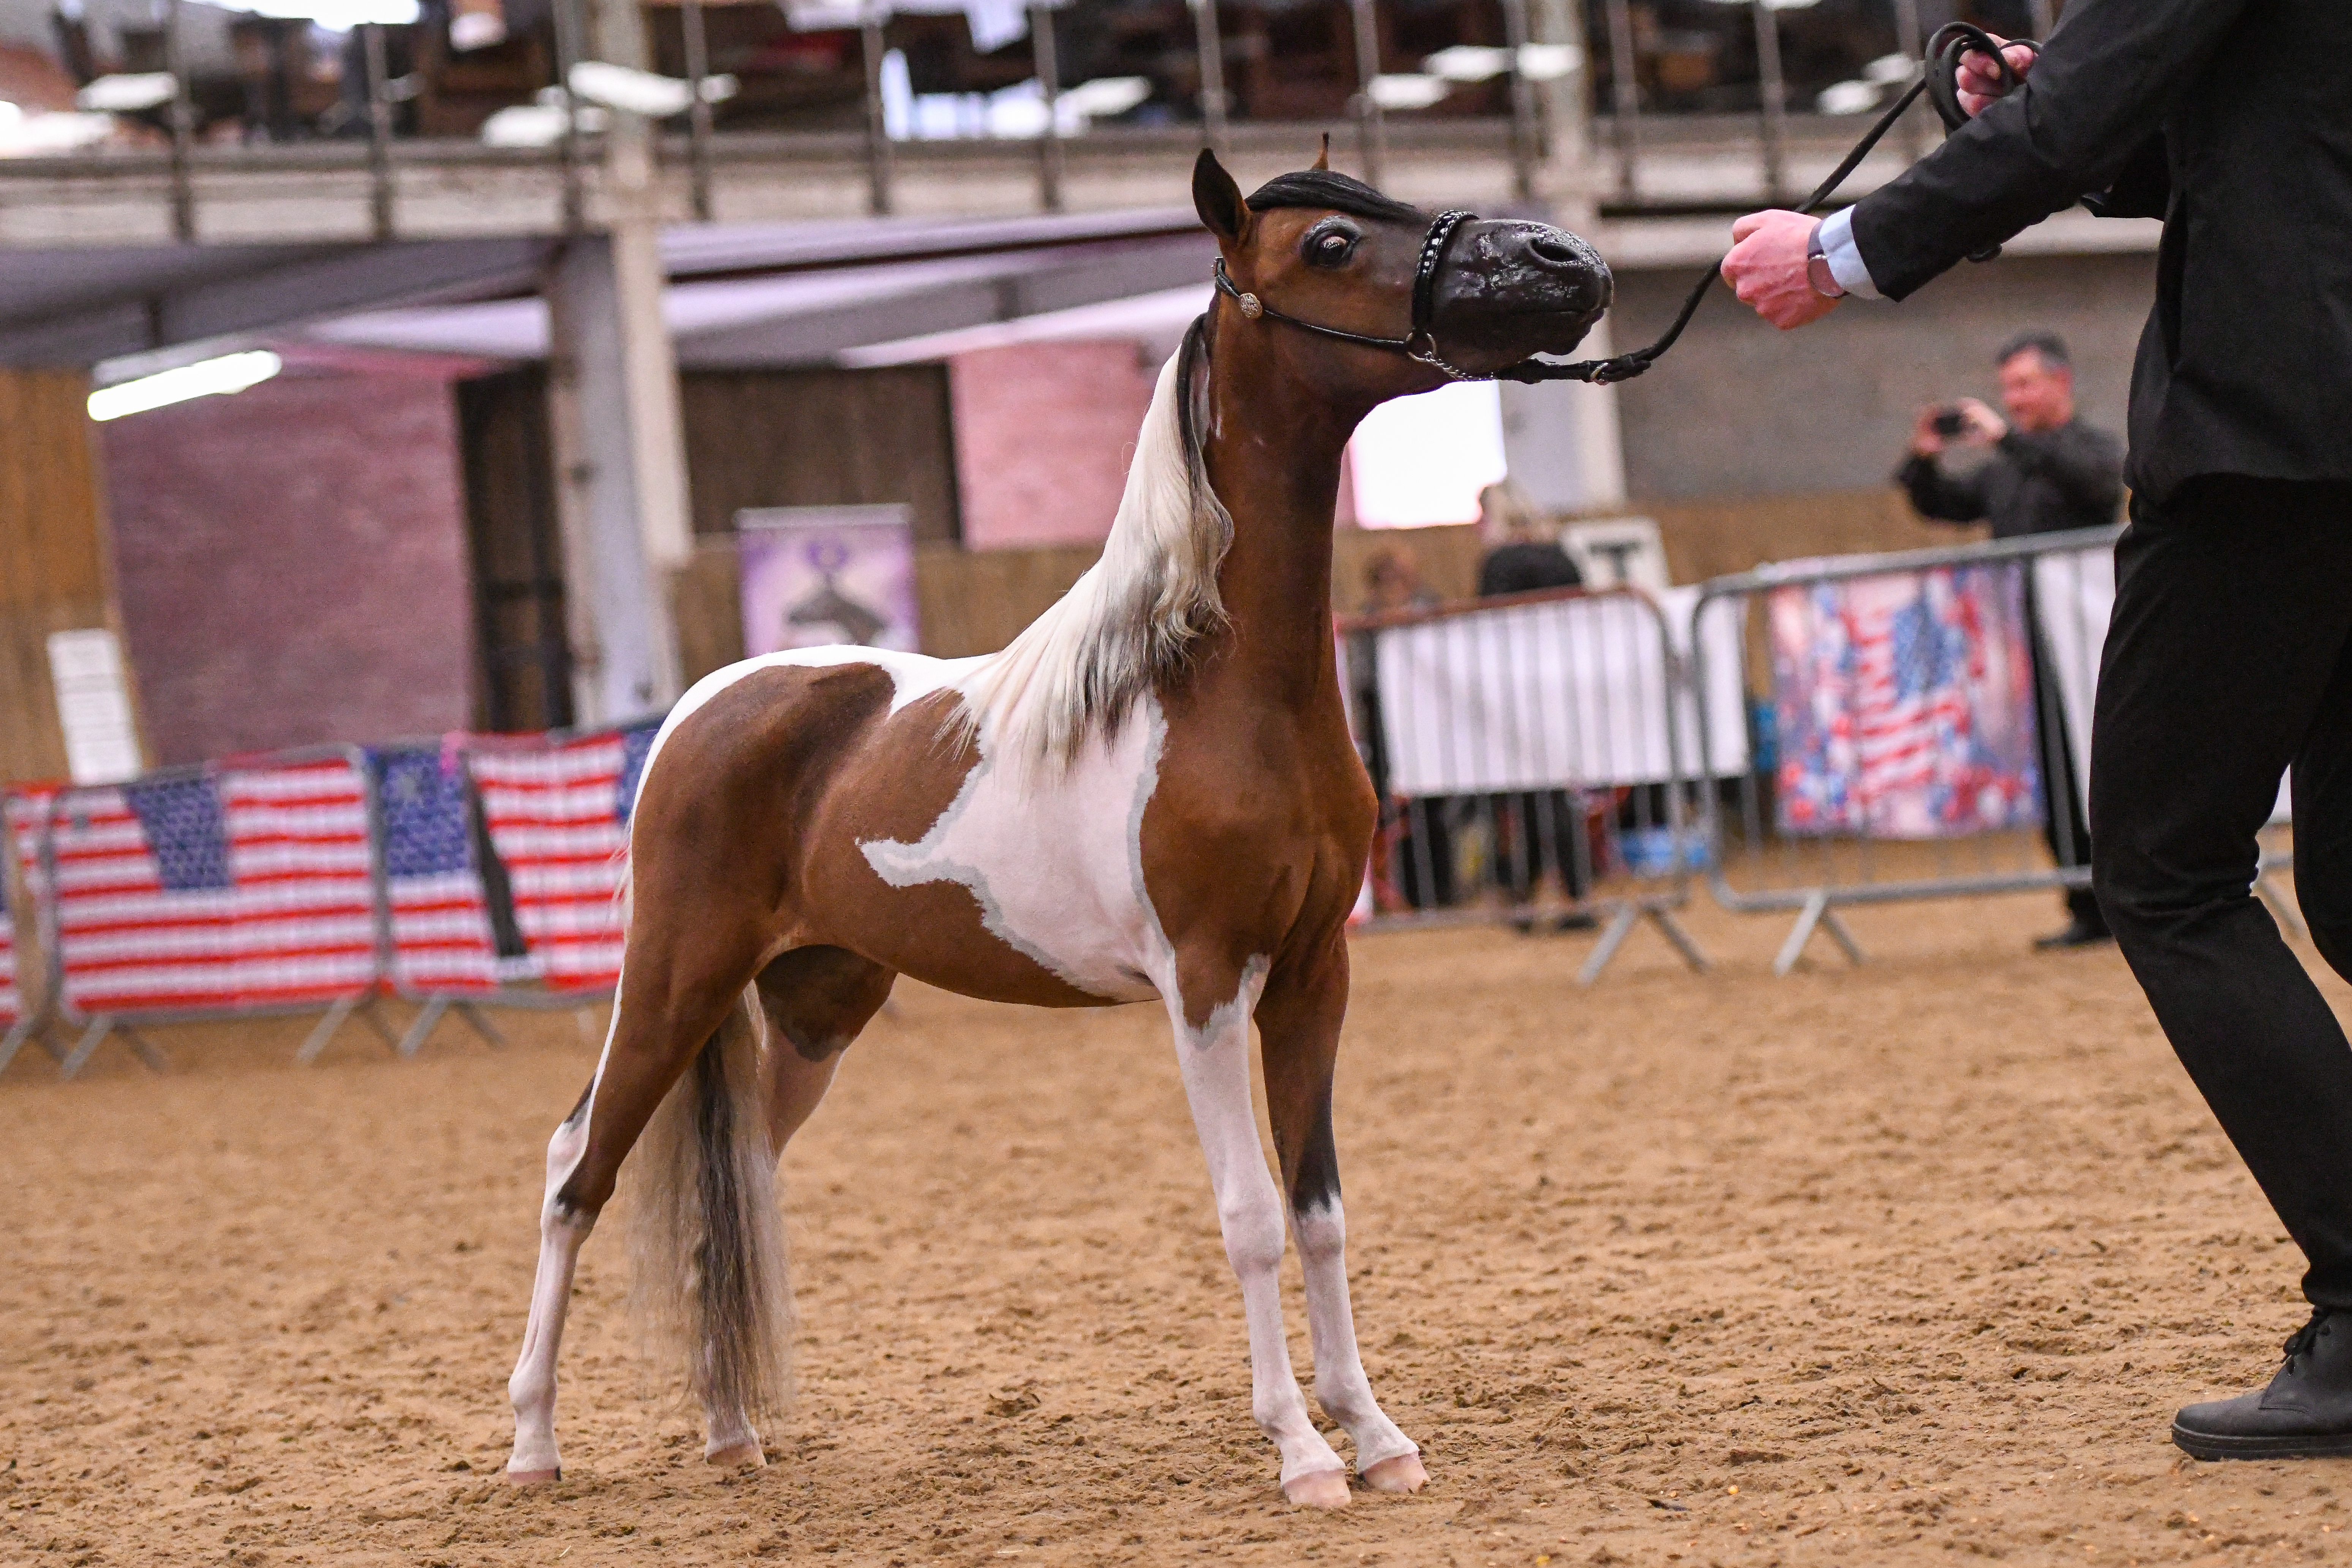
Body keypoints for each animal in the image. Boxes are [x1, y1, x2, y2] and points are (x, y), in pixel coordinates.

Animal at [501, 146, 1612, 1509]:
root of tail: (699, 710)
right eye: (1335, 244)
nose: (1567, 261)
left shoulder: (1313, 975)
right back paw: (534, 1442)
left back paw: (731, 1430)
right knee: (576, 1167)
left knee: (736, 1193)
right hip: (672, 979)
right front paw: (1301, 1452)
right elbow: (1250, 1214)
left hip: (815, 1006)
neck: (1220, 690)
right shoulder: (1206, 986)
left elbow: (1320, 1209)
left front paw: (1376, 1434)